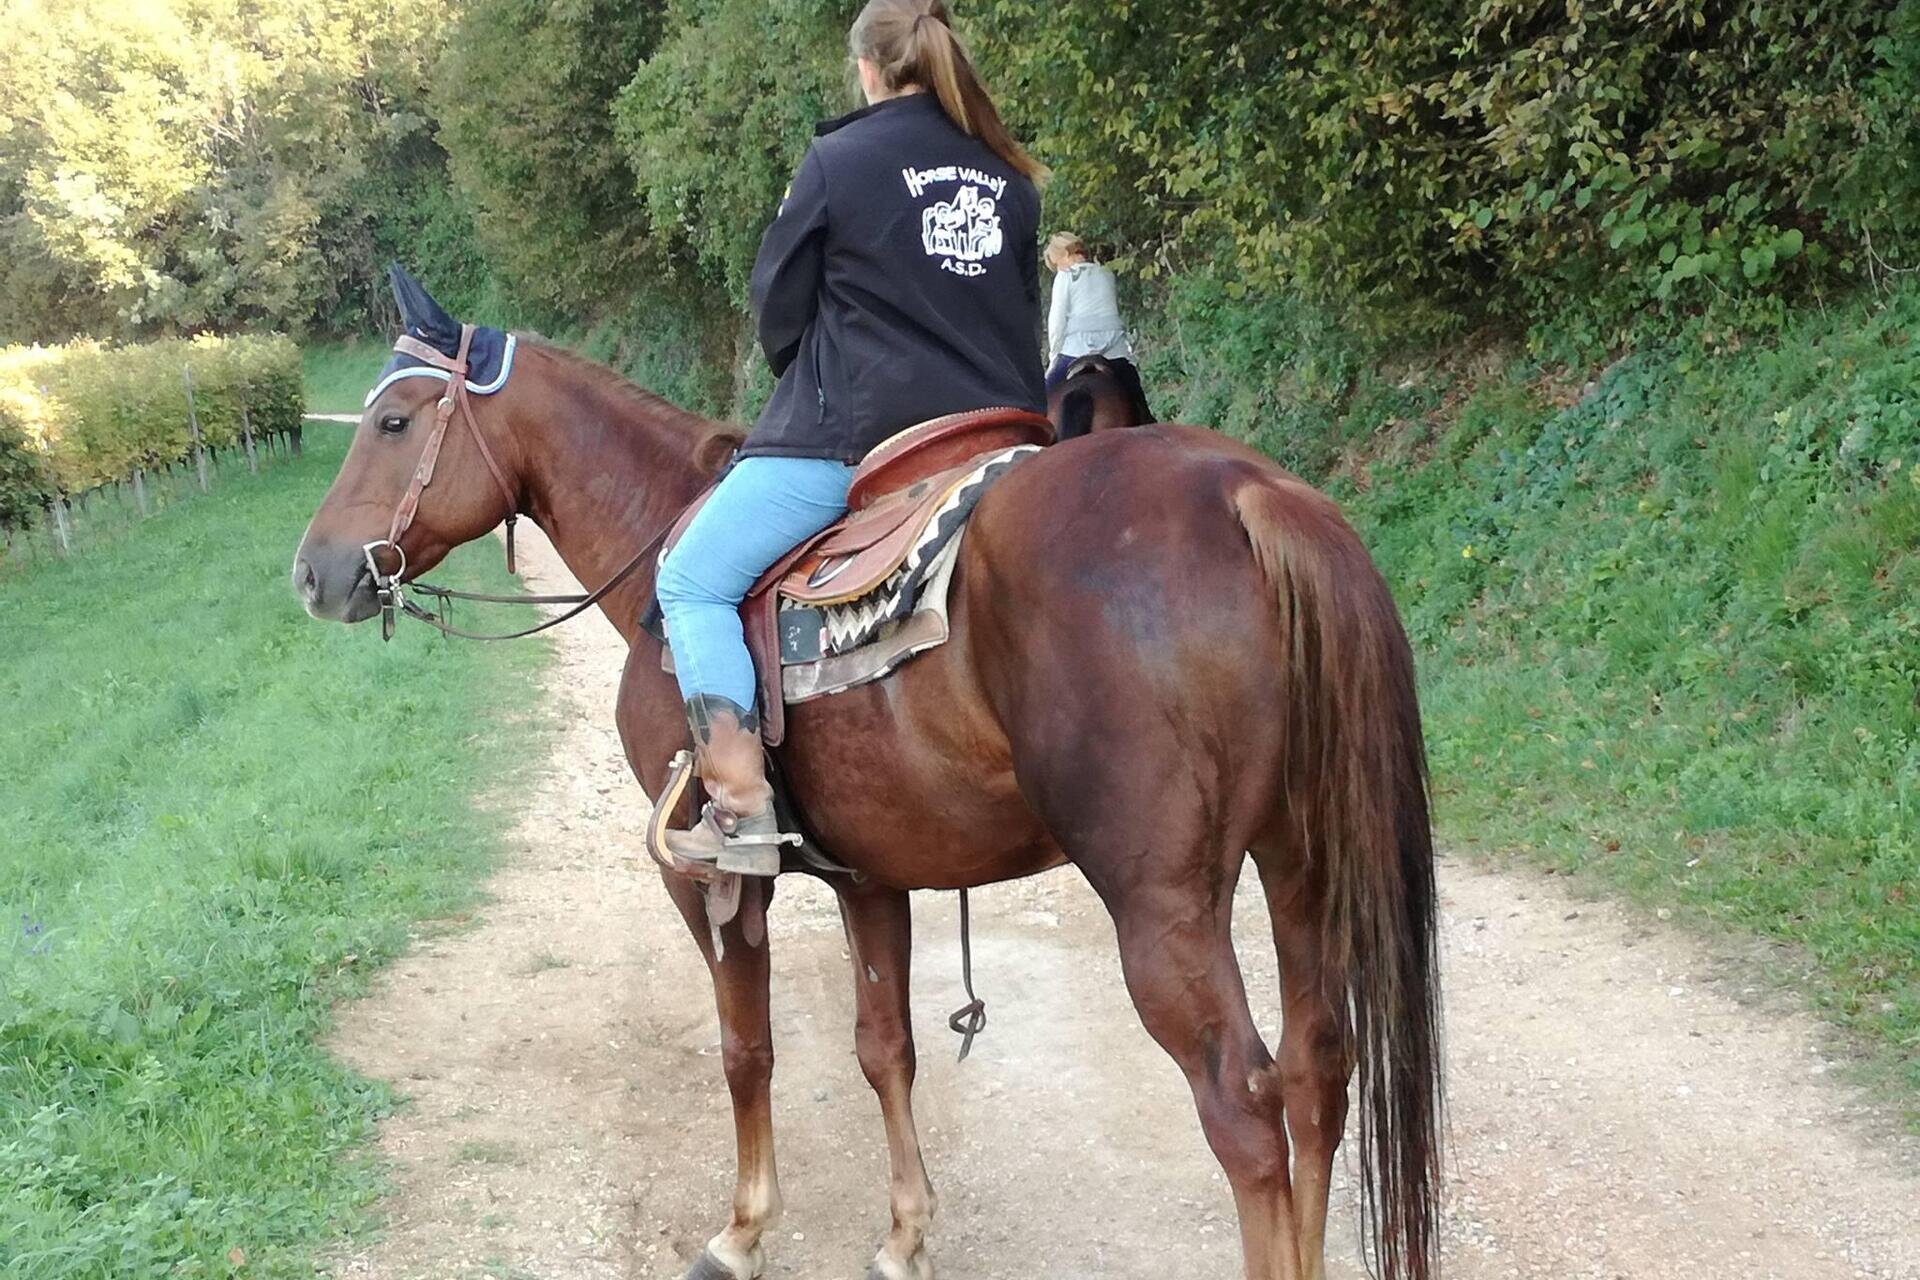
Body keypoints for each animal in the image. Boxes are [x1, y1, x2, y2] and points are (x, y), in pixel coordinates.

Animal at [292, 284, 1442, 1280]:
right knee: (1318, 1066)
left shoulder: (711, 880)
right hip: (1299, 863)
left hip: (1163, 905)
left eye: (392, 420)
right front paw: (904, 1235)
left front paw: (742, 1232)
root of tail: (1249, 493)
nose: (315, 572)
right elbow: (885, 1049)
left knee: (1244, 1106)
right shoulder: (871, 875)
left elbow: (746, 1049)